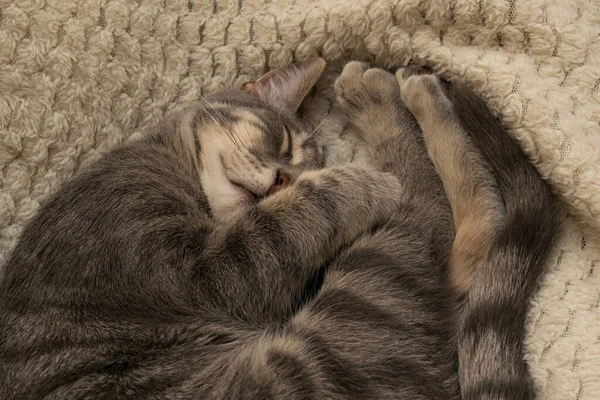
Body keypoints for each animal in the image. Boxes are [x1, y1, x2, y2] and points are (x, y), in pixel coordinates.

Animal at [0, 57, 556, 400]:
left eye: (296, 163)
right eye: (284, 142)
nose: (284, 180)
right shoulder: (201, 272)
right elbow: (313, 207)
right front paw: (360, 182)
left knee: (464, 225)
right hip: (342, 324)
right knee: (431, 212)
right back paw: (389, 102)